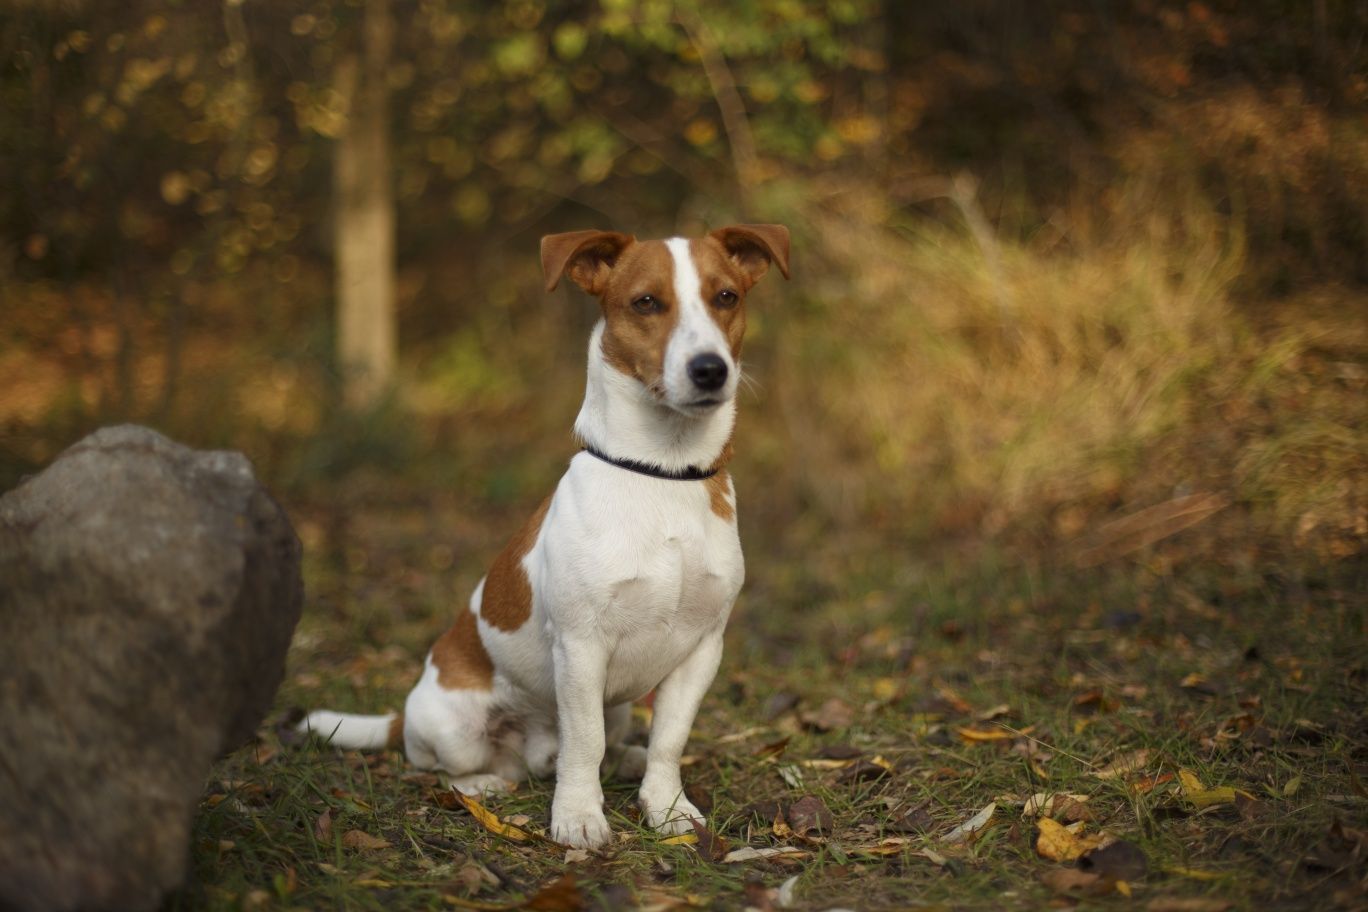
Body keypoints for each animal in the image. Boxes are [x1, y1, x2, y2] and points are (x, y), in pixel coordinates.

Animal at [302, 222, 793, 847]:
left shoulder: (702, 649)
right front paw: (579, 815)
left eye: (725, 296)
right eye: (646, 303)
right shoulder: (582, 647)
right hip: (455, 728)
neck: (662, 472)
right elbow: (583, 742)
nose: (710, 369)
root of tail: (404, 716)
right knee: (447, 767)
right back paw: (485, 785)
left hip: (619, 705)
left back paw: (624, 761)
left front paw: (665, 807)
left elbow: (670, 740)